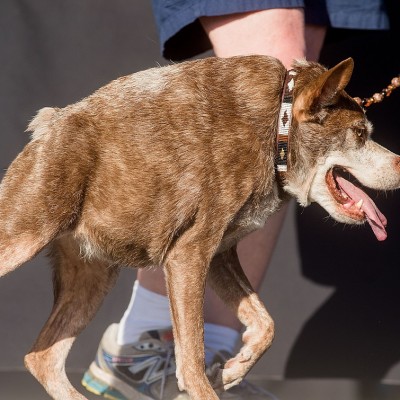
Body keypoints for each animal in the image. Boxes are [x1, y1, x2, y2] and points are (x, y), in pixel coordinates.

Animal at [0, 54, 400, 398]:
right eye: (360, 133)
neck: (276, 129)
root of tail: (48, 125)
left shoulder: (221, 253)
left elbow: (266, 324)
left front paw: (234, 369)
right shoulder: (188, 255)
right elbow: (192, 359)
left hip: (93, 277)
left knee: (41, 358)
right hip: (25, 236)